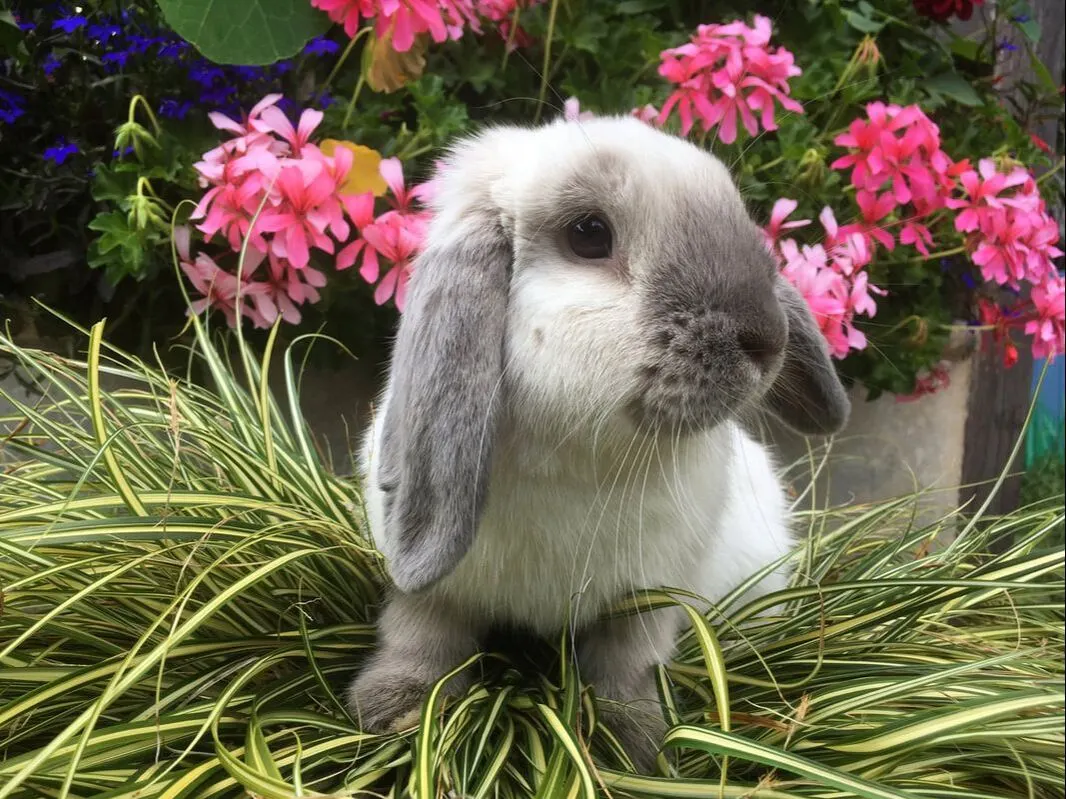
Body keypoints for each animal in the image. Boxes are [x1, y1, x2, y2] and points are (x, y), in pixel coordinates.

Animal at [347, 115, 850, 772]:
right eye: (588, 234)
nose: (767, 339)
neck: (579, 457)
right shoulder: (439, 592)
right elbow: (420, 634)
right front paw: (391, 712)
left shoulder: (647, 599)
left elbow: (626, 668)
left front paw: (631, 746)